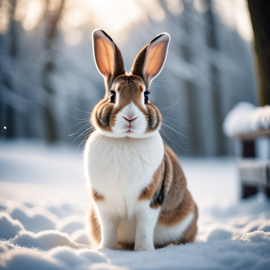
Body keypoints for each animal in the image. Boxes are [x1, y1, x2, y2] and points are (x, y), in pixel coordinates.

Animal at [84, 29, 198, 251]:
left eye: (146, 96)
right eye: (112, 95)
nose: (130, 117)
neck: (125, 140)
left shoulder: (149, 201)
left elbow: (144, 227)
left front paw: (143, 251)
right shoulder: (104, 203)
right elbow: (108, 227)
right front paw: (106, 250)